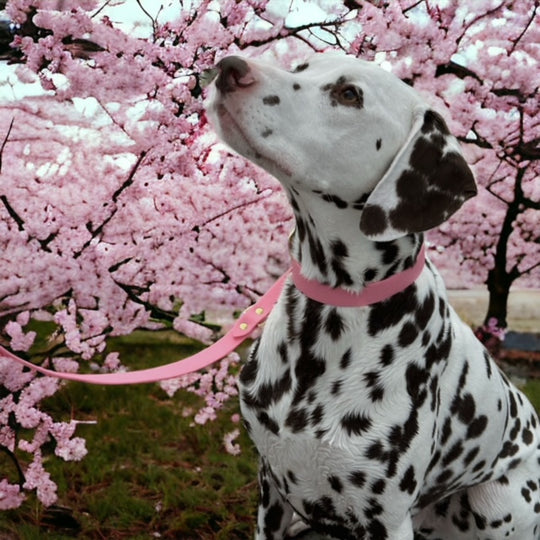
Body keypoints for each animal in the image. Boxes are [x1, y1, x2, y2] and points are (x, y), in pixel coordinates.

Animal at [207, 52, 540, 536]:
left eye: (350, 94)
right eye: (300, 66)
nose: (229, 66)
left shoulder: (386, 517)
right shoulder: (271, 491)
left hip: (498, 499)